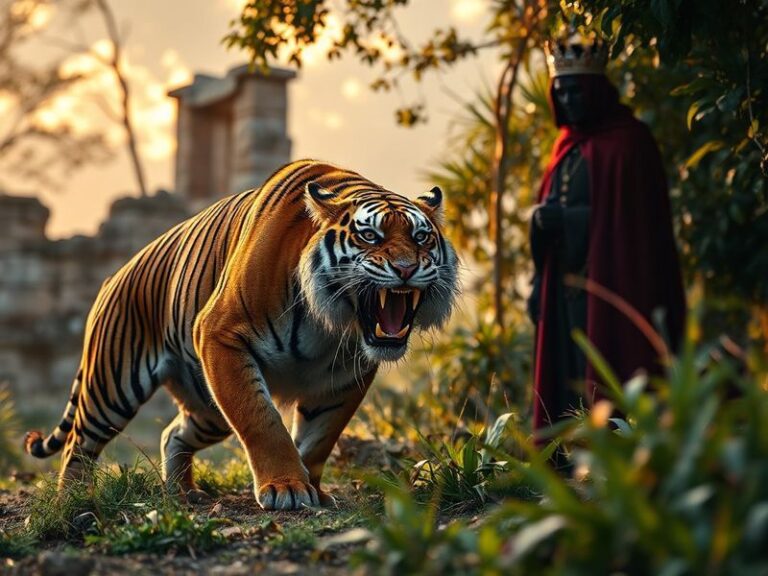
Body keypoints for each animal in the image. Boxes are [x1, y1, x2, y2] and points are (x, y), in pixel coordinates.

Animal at [24, 159, 459, 510]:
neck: (329, 323)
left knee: (171, 434)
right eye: (370, 236)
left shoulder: (347, 375)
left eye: (421, 237)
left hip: (207, 407)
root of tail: (113, 276)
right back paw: (73, 499)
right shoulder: (220, 335)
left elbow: (319, 437)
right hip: (113, 384)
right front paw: (286, 488)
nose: (406, 268)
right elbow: (261, 419)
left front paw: (313, 488)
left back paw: (183, 493)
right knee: (79, 444)